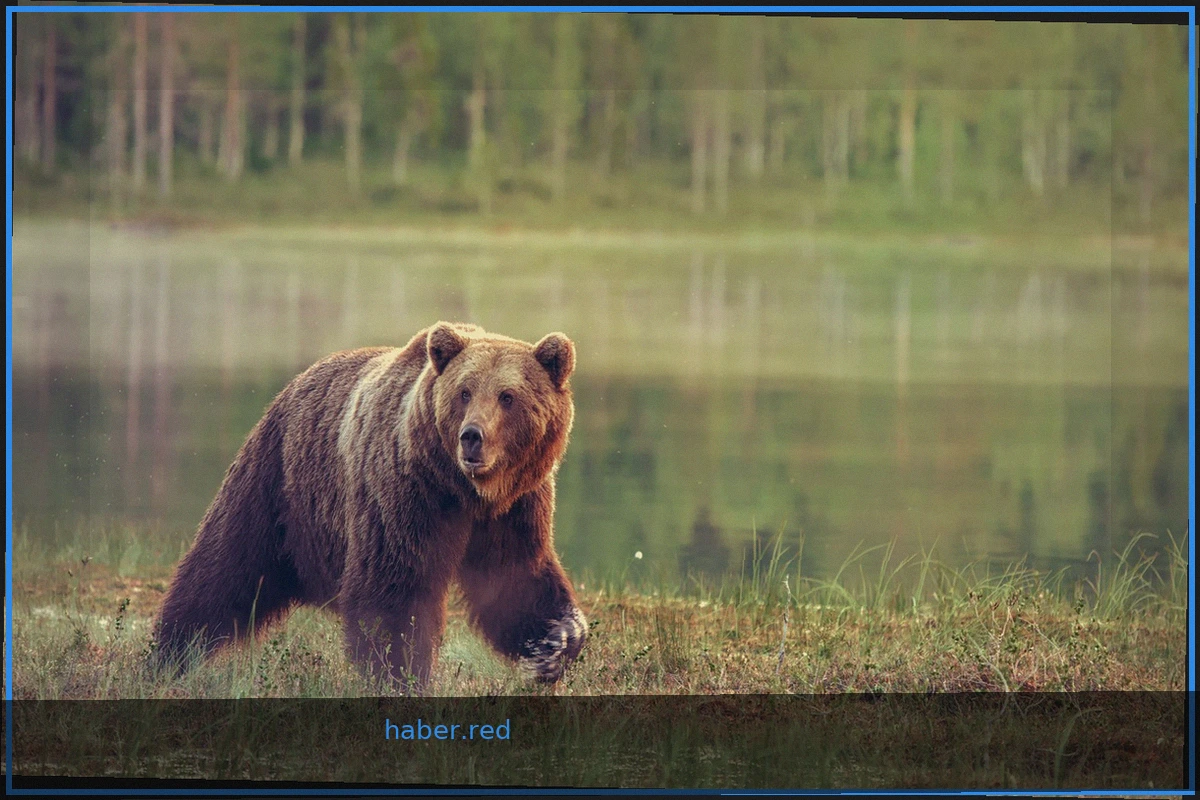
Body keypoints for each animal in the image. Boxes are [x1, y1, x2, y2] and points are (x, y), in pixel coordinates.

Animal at [153, 322, 586, 689]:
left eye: (507, 396)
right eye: (464, 392)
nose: (472, 437)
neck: (463, 490)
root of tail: (296, 382)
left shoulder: (516, 507)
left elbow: (515, 578)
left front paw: (556, 642)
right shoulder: (405, 493)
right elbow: (394, 588)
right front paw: (403, 676)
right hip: (279, 484)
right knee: (224, 568)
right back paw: (169, 655)